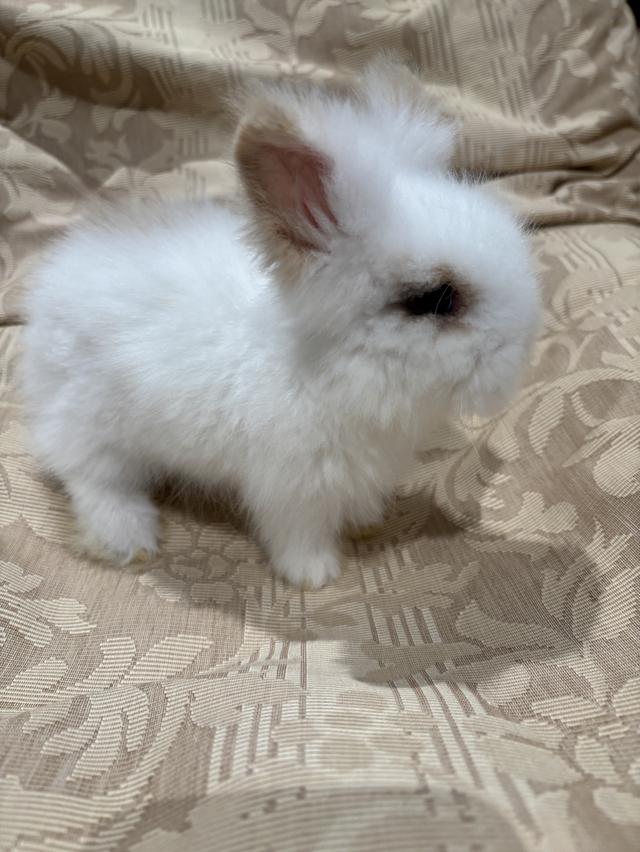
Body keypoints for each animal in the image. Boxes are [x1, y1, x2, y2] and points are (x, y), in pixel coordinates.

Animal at [22, 57, 540, 588]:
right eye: (435, 299)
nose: (524, 342)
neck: (325, 370)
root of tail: (49, 294)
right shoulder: (293, 486)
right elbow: (298, 534)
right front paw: (315, 575)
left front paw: (367, 523)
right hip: (94, 425)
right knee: (85, 474)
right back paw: (129, 538)